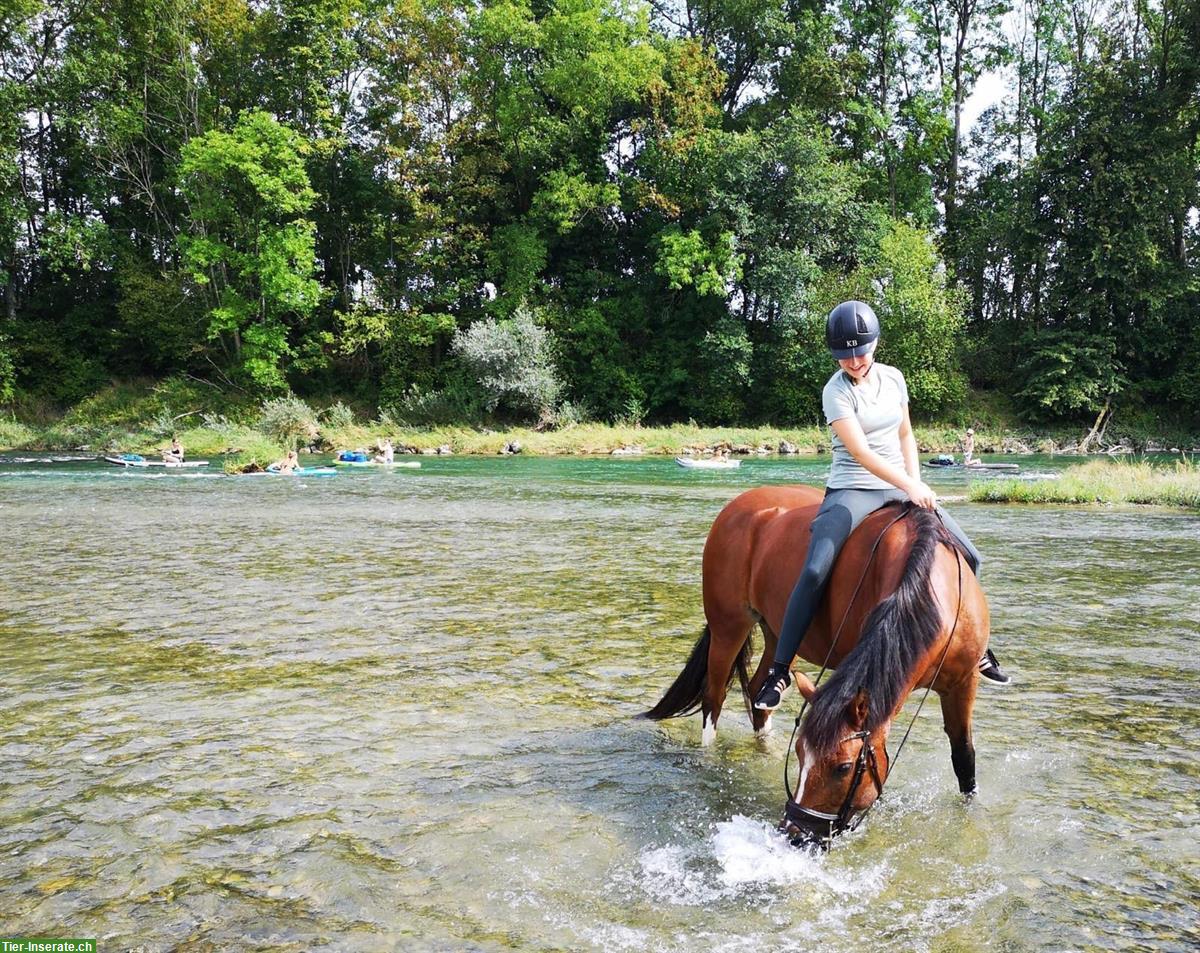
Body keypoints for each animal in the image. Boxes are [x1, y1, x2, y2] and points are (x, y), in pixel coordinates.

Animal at [643, 487, 988, 844]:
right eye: (799, 754)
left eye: (843, 767)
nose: (796, 832)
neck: (935, 596)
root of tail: (737, 505)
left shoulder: (963, 682)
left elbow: (964, 757)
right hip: (728, 627)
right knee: (714, 698)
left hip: (777, 632)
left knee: (760, 693)